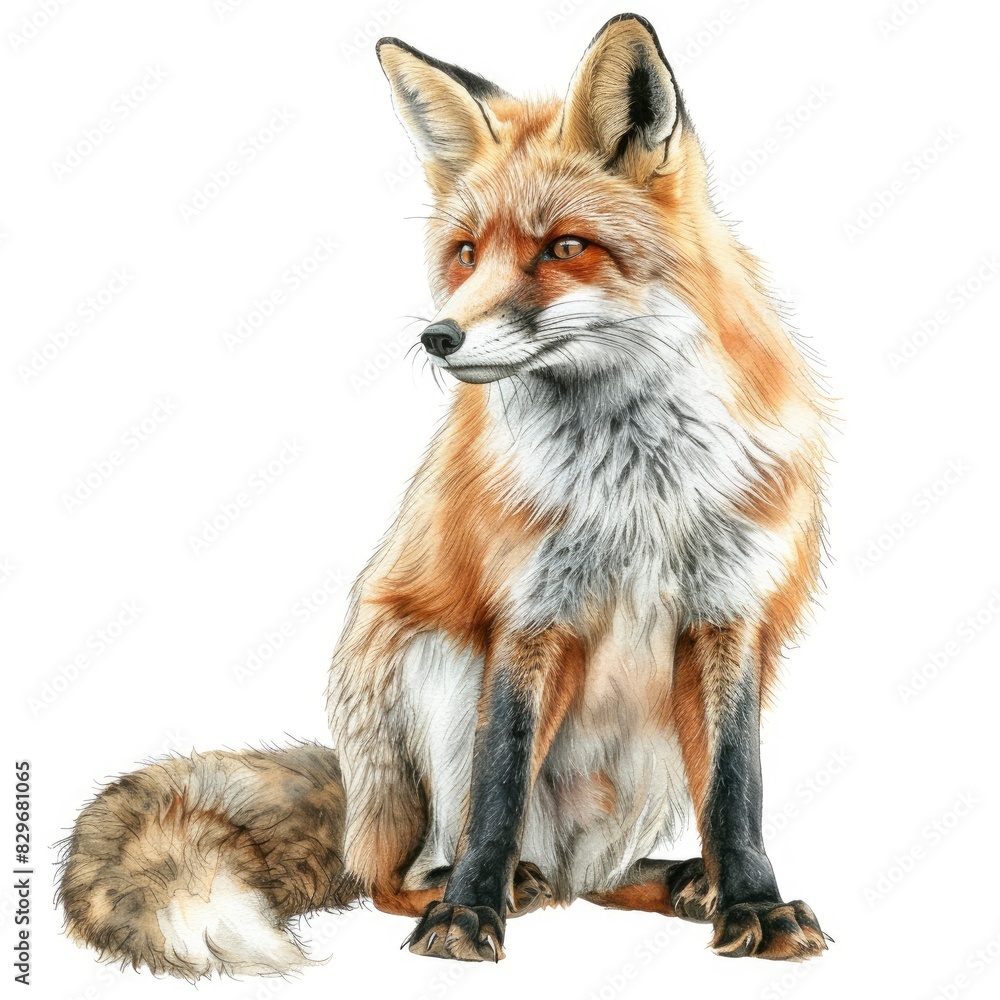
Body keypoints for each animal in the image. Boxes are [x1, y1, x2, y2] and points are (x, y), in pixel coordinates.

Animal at [58, 13, 829, 978]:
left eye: (563, 247)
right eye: (465, 254)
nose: (439, 336)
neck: (636, 488)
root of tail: (357, 802)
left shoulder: (729, 613)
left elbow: (737, 790)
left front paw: (755, 905)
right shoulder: (526, 617)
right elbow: (498, 784)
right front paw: (466, 918)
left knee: (600, 879)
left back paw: (682, 883)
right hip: (439, 666)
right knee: (407, 870)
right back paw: (473, 887)